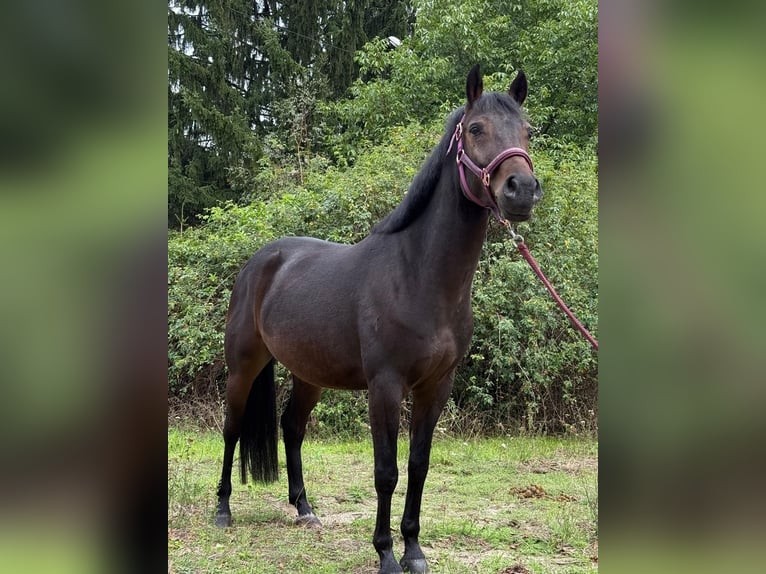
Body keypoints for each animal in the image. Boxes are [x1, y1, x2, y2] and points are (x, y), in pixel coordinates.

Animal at [214, 64, 542, 574]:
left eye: (527, 131)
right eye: (475, 129)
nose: (521, 190)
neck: (418, 277)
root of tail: (260, 261)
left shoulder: (436, 386)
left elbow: (418, 466)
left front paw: (414, 550)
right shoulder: (385, 386)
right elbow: (386, 471)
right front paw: (387, 553)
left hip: (310, 374)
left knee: (292, 427)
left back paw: (305, 509)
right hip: (243, 367)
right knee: (231, 428)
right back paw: (223, 509)